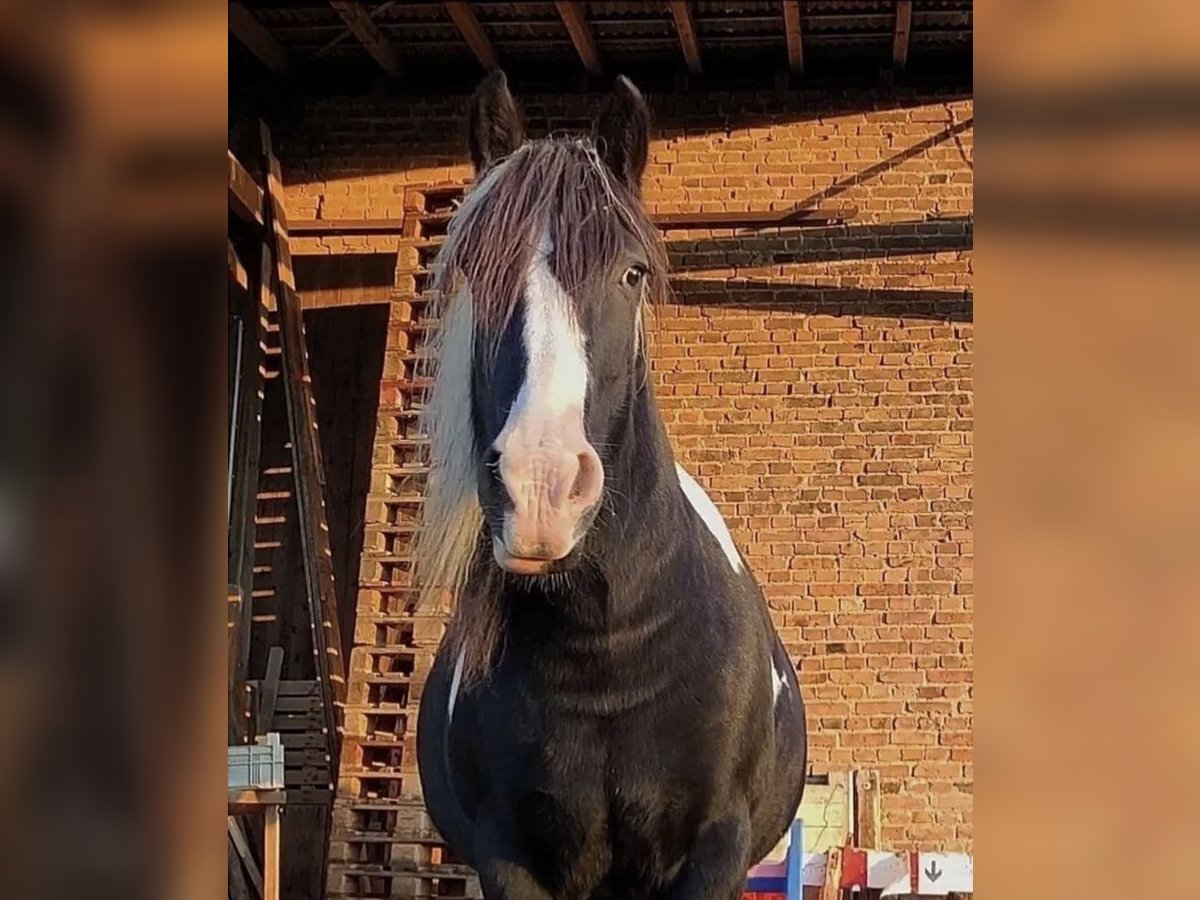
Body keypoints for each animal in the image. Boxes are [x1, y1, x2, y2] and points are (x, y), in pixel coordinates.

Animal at [415, 72, 806, 900]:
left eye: (631, 272)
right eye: (472, 273)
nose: (539, 486)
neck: (605, 646)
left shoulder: (715, 851)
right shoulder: (507, 856)